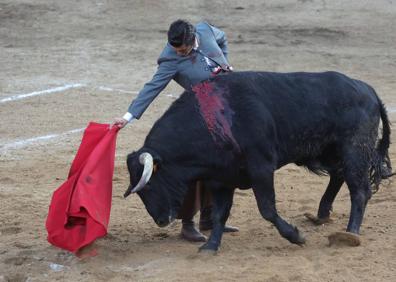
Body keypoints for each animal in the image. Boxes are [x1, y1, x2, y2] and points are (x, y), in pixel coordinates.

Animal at [125, 71, 392, 251]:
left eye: (149, 184)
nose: (161, 220)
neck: (214, 119)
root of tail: (369, 90)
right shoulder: (220, 179)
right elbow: (221, 213)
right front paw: (211, 246)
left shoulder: (261, 169)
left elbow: (267, 209)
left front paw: (296, 236)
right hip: (329, 150)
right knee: (338, 175)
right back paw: (322, 214)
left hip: (354, 149)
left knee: (359, 190)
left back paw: (350, 233)